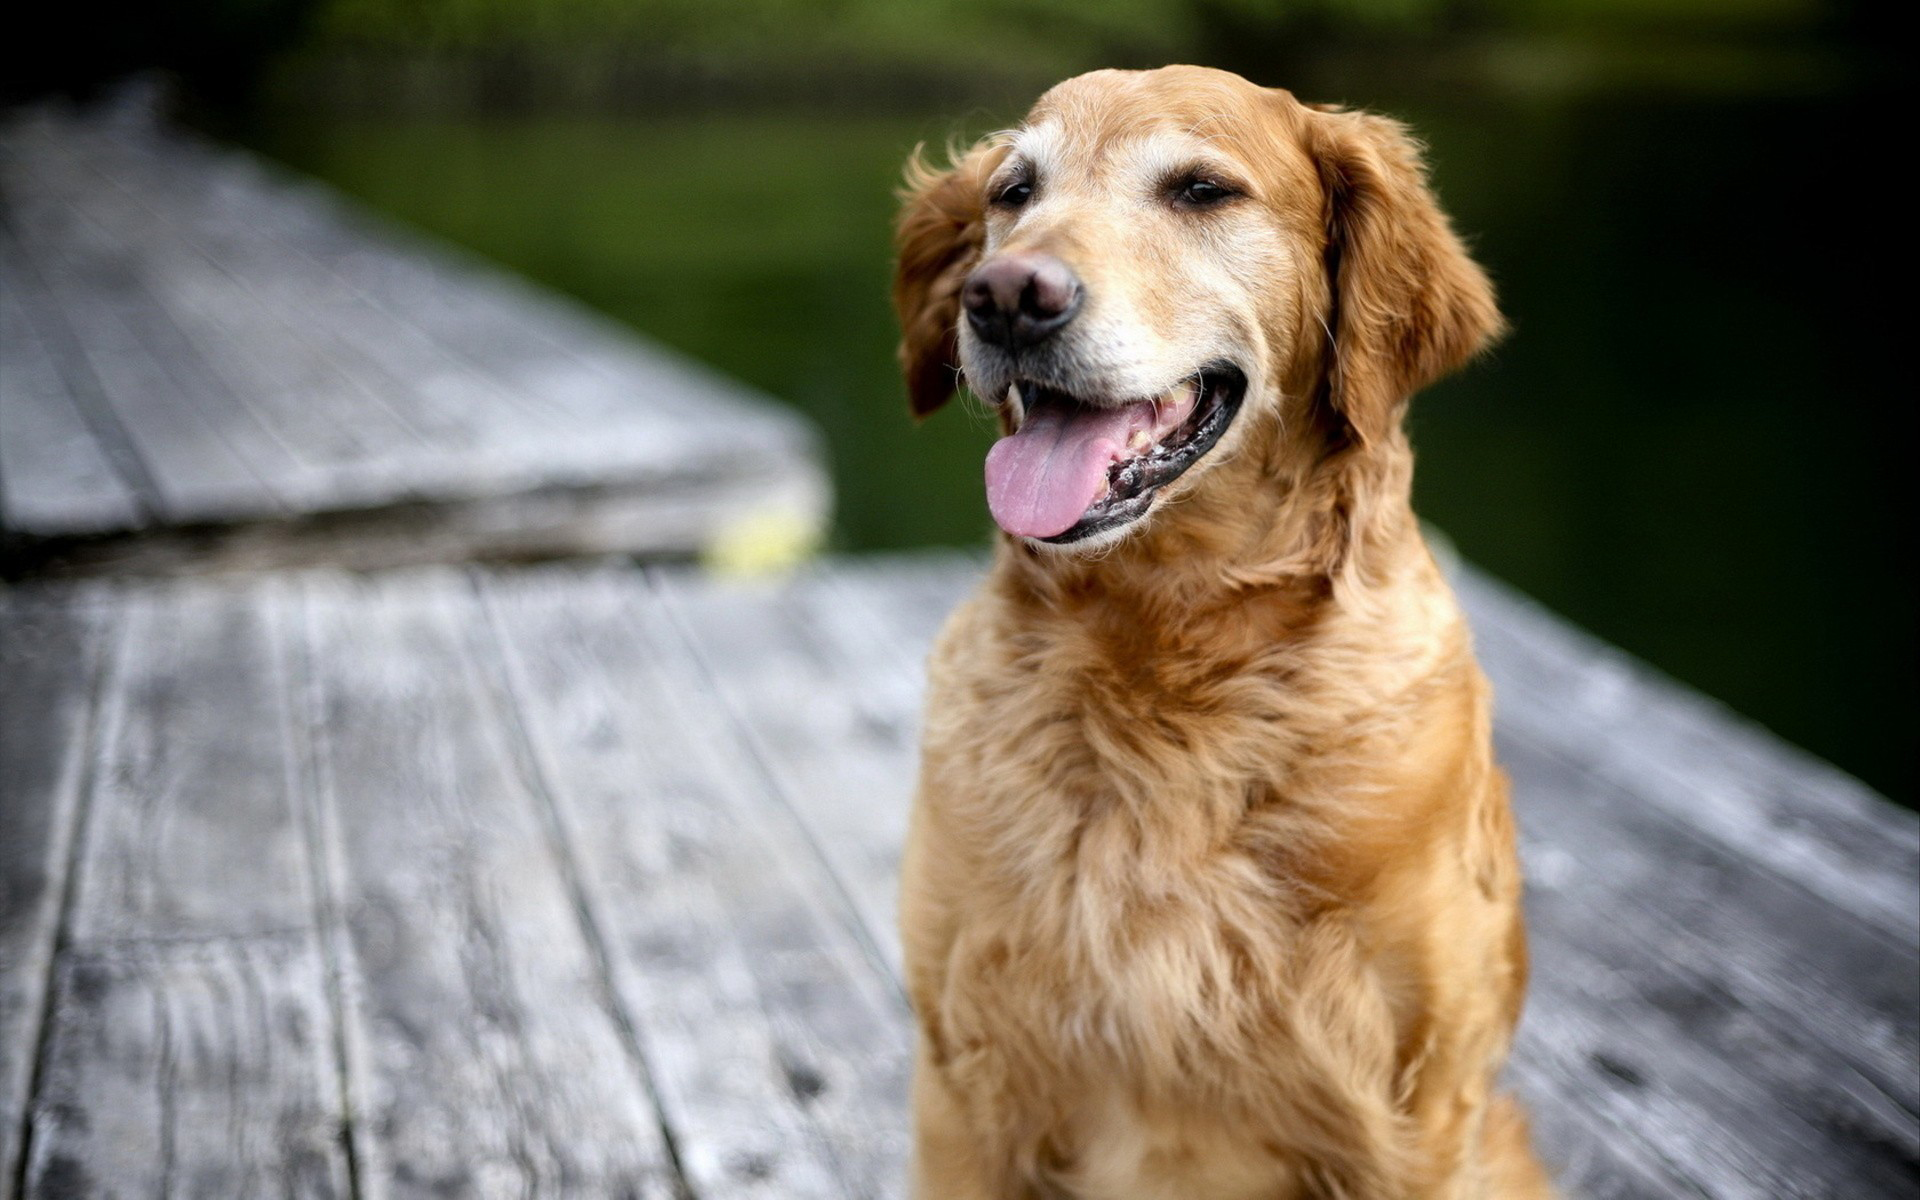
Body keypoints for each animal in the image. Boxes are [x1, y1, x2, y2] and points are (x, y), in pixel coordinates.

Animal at [890, 67, 1551, 1198]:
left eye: (1202, 190)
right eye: (1014, 191)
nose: (1008, 295)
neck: (1169, 643)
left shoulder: (1418, 1110)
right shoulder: (960, 1077)